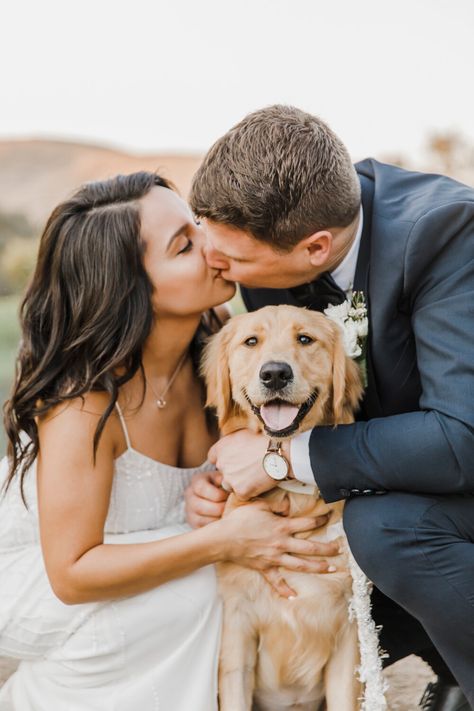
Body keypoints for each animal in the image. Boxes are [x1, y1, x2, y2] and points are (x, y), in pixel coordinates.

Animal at [202, 304, 364, 711]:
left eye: (305, 338)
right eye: (251, 341)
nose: (275, 373)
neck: (294, 496)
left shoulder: (349, 632)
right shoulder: (237, 631)